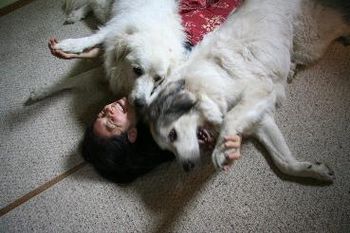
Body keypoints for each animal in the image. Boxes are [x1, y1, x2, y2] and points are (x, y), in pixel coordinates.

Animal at [27, 0, 186, 103]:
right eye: (137, 70)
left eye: (159, 79)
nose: (140, 104)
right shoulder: (113, 30)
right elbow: (92, 39)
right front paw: (69, 46)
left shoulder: (109, 70)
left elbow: (76, 79)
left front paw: (42, 92)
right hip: (104, 9)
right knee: (91, 3)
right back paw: (76, 15)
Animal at [138, 0, 348, 182]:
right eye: (168, 149)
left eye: (172, 135)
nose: (187, 168)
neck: (208, 83)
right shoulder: (261, 118)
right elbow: (284, 162)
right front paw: (314, 170)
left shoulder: (259, 92)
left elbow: (230, 118)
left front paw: (221, 150)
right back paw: (291, 69)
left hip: (311, 40)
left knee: (341, 21)